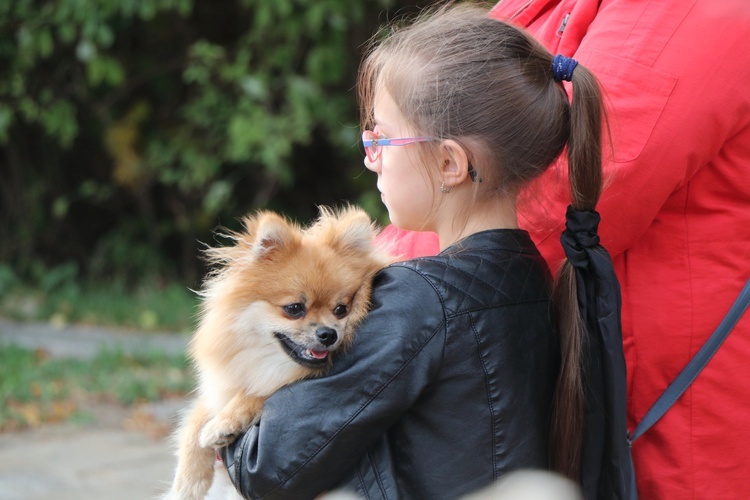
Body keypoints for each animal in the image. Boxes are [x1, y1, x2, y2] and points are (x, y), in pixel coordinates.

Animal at [162, 205, 390, 498]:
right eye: (294, 309)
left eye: (341, 309)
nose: (329, 334)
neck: (270, 362)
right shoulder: (220, 386)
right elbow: (195, 421)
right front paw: (187, 483)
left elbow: (255, 393)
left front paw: (223, 424)